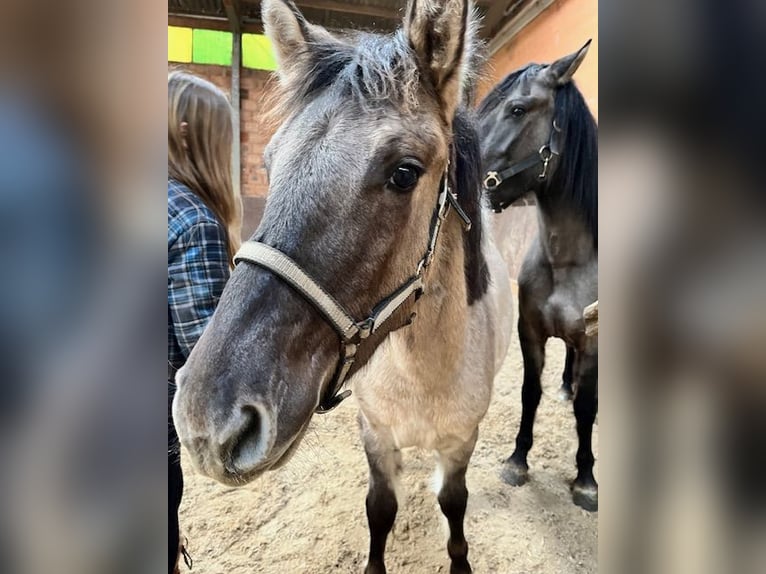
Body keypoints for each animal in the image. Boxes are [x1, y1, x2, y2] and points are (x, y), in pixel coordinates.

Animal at [171, 2, 512, 572]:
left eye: (404, 172)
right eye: (269, 163)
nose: (208, 421)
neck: (422, 373)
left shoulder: (462, 439)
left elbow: (454, 505)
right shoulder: (374, 435)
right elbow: (380, 510)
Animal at [480, 45, 600, 512]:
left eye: (517, 109)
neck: (566, 260)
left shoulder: (594, 342)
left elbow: (587, 409)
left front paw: (586, 481)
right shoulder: (529, 330)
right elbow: (530, 393)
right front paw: (517, 460)